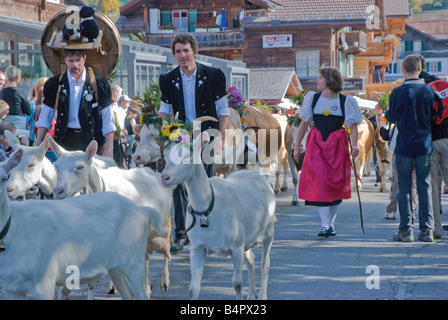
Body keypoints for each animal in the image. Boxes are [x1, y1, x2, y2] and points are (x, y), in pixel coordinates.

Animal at [0, 149, 166, 298]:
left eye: (3, 178)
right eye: (9, 175)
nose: (10, 189)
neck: (15, 227)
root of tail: (139, 210)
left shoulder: (44, 283)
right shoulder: (12, 288)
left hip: (133, 262)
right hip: (116, 267)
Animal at [48, 136, 172, 296]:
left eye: (80, 167)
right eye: (56, 167)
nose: (58, 191)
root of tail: (153, 172)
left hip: (165, 223)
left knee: (166, 246)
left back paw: (164, 281)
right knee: (145, 256)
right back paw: (146, 286)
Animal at [159, 131, 274, 300]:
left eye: (188, 155)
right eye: (165, 155)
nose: (164, 177)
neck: (208, 209)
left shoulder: (236, 248)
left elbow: (237, 284)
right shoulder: (198, 249)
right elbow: (193, 289)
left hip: (268, 233)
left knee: (265, 264)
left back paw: (262, 295)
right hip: (248, 238)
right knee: (251, 260)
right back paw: (251, 295)